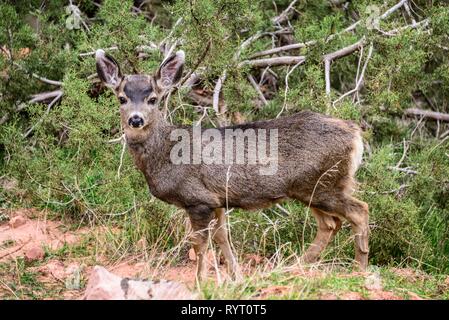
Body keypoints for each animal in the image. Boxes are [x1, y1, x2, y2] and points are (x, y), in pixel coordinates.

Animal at [94, 48, 368, 282]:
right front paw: (236, 277)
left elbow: (200, 245)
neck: (165, 154)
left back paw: (359, 270)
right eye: (122, 98)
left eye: (152, 99)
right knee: (330, 224)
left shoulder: (198, 199)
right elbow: (222, 238)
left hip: (323, 183)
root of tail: (355, 134)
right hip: (310, 187)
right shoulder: (217, 200)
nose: (136, 119)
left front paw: (200, 281)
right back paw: (293, 266)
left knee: (359, 211)